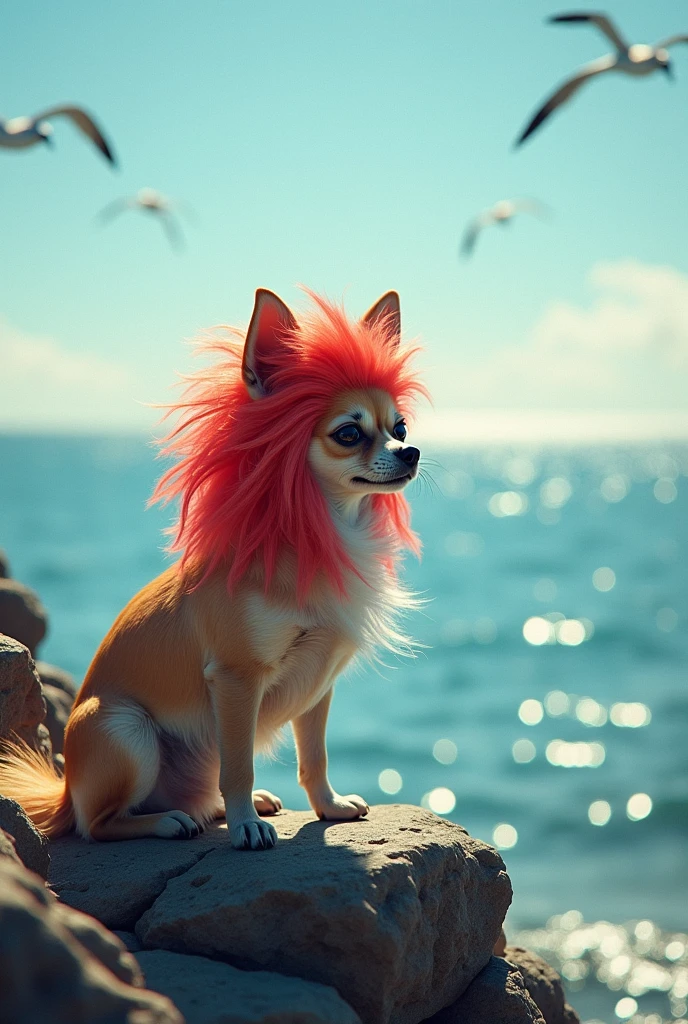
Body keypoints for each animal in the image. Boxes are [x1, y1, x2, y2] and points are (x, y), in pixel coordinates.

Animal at [0, 288, 427, 847]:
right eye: (350, 433)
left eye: (400, 427)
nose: (411, 451)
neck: (320, 534)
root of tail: (66, 790)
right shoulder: (236, 679)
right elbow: (240, 765)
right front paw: (246, 828)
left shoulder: (319, 682)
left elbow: (314, 755)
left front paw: (328, 806)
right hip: (125, 729)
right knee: (100, 824)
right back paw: (170, 821)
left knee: (198, 791)